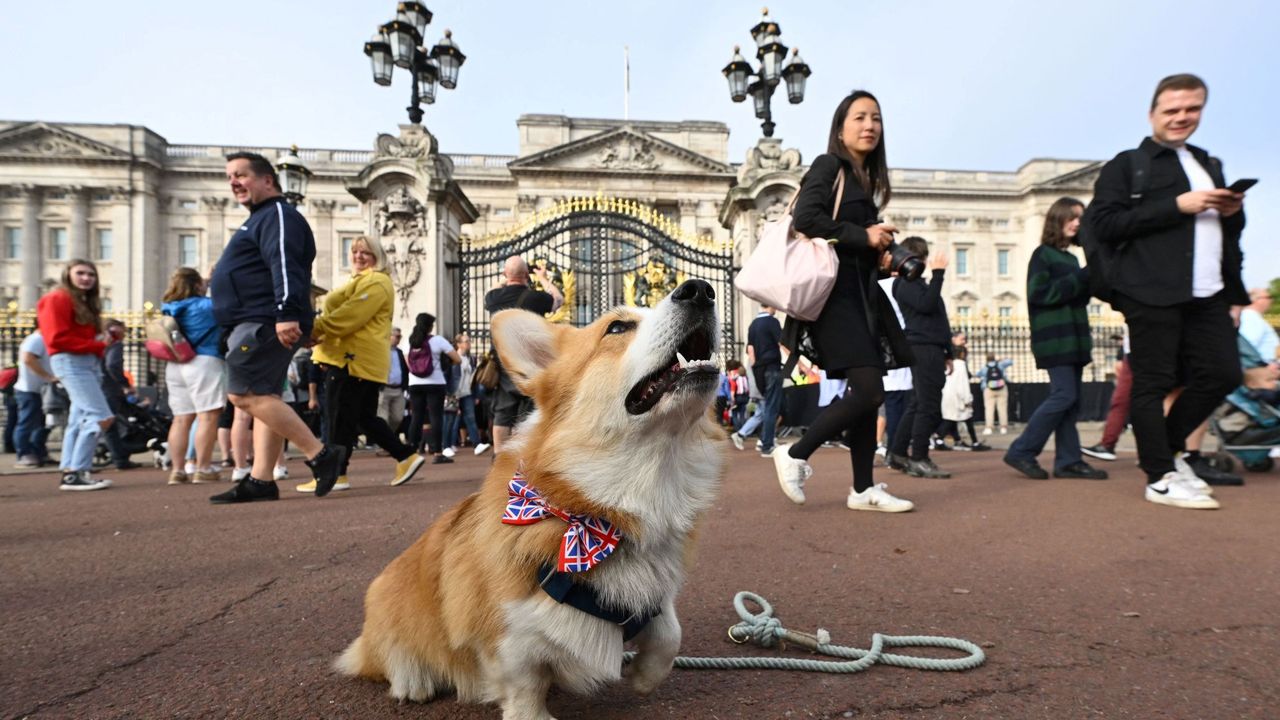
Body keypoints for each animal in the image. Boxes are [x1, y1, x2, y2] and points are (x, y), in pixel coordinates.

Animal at [335, 278, 727, 712]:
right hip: (385, 606)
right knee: (384, 657)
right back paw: (412, 682)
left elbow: (669, 630)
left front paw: (644, 678)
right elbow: (525, 685)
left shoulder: (654, 597)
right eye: (617, 327)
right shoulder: (506, 634)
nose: (700, 289)